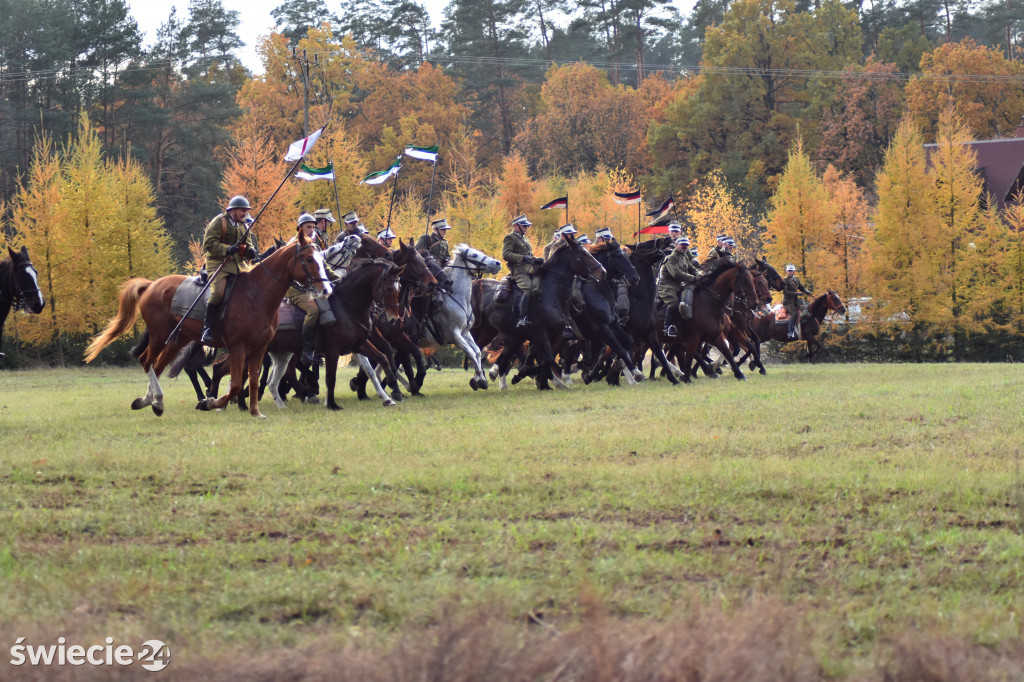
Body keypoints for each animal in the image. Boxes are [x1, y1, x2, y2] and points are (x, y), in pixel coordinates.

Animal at [86, 232, 331, 413]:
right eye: (309, 259)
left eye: (322, 259)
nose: (326, 289)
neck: (257, 292)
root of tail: (151, 285)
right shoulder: (239, 347)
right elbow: (236, 384)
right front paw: (212, 402)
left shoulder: (260, 348)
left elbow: (252, 380)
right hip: (160, 335)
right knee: (148, 361)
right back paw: (160, 400)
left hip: (177, 339)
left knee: (159, 365)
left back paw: (151, 400)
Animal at [417, 241, 501, 387]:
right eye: (474, 255)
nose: (497, 263)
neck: (457, 298)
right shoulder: (455, 335)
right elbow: (471, 352)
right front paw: (479, 378)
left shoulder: (465, 333)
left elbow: (477, 351)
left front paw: (479, 378)